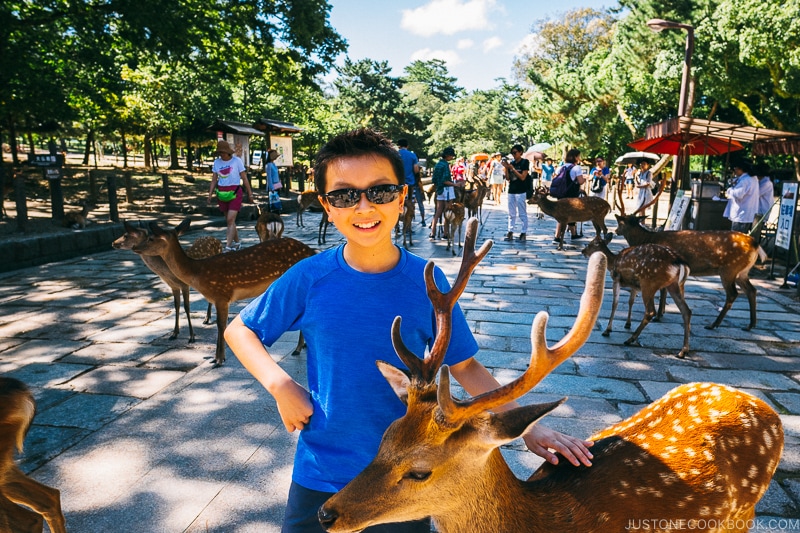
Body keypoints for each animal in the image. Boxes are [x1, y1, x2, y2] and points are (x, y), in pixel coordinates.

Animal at [136, 218, 314, 364]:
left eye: (151, 238)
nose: (136, 248)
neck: (198, 273)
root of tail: (312, 251)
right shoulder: (217, 298)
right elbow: (220, 324)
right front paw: (216, 358)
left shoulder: (222, 294)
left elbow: (221, 326)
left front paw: (219, 359)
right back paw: (300, 347)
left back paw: (298, 348)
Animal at [318, 217, 780, 532]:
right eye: (384, 439)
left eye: (419, 471)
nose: (326, 514)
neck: (545, 519)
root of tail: (760, 403)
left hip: (744, 514)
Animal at [616, 185, 764, 330]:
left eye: (620, 223)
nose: (616, 231)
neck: (648, 238)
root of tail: (756, 244)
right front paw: (661, 313)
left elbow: (663, 291)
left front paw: (658, 316)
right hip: (742, 271)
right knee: (752, 290)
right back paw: (750, 325)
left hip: (729, 269)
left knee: (733, 294)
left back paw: (713, 324)